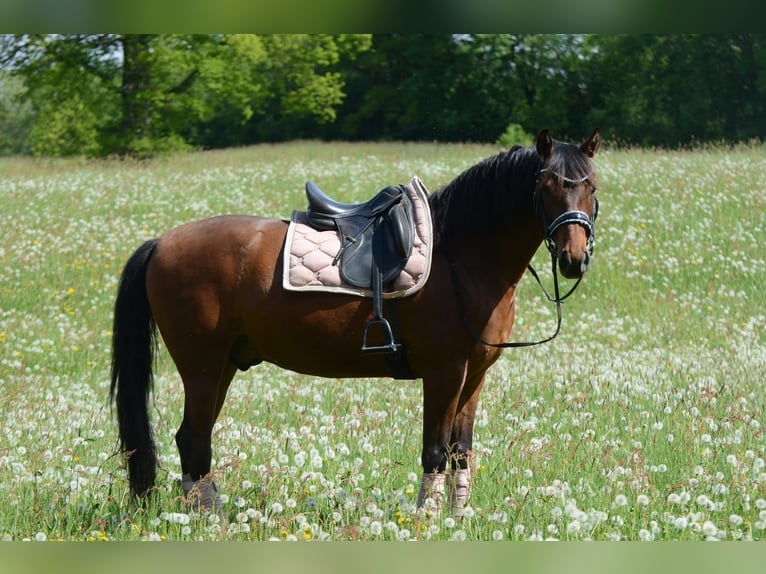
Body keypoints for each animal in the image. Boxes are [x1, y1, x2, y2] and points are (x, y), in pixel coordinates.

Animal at [110, 128, 601, 514]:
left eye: (592, 187)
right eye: (548, 186)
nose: (574, 259)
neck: (460, 255)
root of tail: (161, 243)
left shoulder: (475, 375)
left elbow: (461, 451)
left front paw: (459, 518)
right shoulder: (444, 373)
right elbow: (435, 451)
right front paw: (426, 521)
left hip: (223, 366)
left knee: (193, 441)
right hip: (203, 369)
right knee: (193, 440)